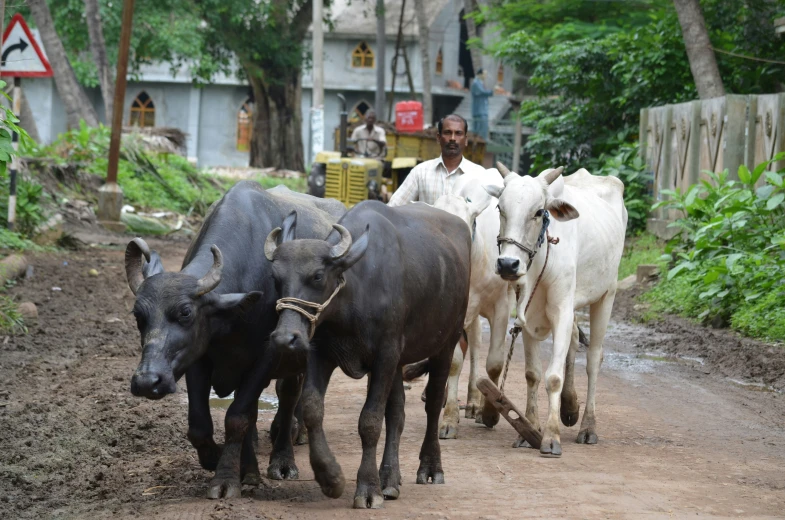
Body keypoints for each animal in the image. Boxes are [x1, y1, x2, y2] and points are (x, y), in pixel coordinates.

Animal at [124, 180, 342, 500]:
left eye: (186, 312)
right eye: (138, 315)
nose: (147, 381)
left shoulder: (267, 357)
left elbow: (236, 417)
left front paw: (226, 479)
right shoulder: (198, 357)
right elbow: (201, 424)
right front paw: (219, 461)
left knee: (289, 396)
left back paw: (283, 458)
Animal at [264, 201, 472, 510]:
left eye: (317, 275)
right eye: (276, 278)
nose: (284, 338)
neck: (356, 292)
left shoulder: (385, 357)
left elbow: (370, 421)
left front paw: (368, 488)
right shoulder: (321, 353)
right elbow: (313, 408)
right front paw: (330, 477)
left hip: (446, 343)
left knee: (434, 403)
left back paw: (430, 467)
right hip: (401, 361)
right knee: (397, 412)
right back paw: (390, 478)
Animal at [484, 161, 624, 456]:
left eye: (539, 212)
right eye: (500, 208)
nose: (508, 264)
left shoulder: (562, 309)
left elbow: (553, 377)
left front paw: (550, 436)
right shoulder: (526, 313)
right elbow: (533, 374)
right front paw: (528, 429)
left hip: (607, 294)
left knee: (593, 359)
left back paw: (588, 426)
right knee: (573, 342)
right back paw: (569, 407)